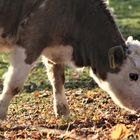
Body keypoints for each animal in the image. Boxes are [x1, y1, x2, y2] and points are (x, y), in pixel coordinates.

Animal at [0, 0, 140, 119]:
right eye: (133, 76)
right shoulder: (31, 41)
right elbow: (14, 84)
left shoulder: (55, 49)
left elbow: (57, 79)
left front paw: (63, 112)